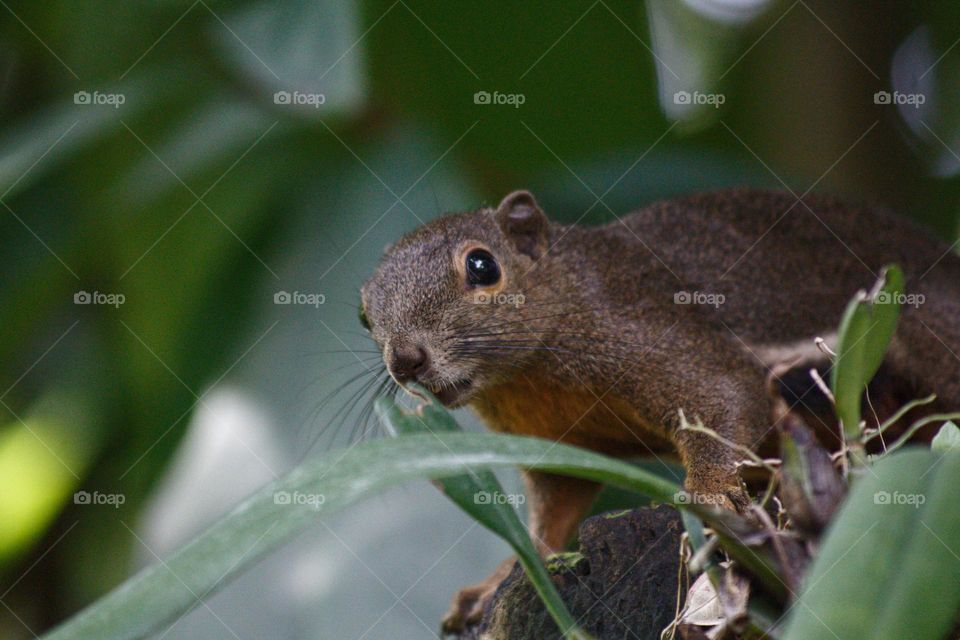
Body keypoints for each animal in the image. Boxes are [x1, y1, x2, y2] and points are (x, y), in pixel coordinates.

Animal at [358, 188, 960, 632]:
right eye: (363, 314)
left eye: (482, 266)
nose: (405, 361)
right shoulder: (553, 443)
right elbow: (552, 515)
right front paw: (498, 578)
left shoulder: (650, 332)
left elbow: (727, 395)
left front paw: (710, 495)